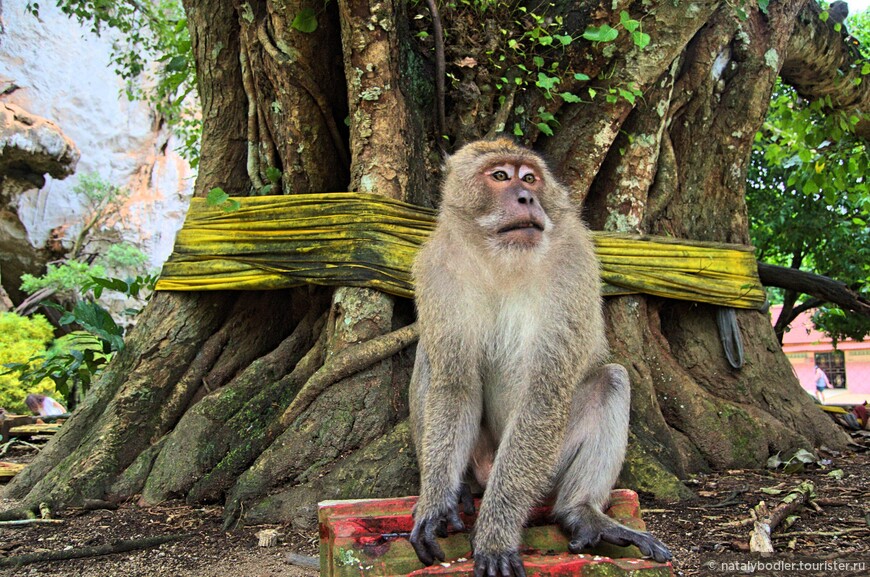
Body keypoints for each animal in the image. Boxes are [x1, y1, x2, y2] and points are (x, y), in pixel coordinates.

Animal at [410, 140, 676, 576]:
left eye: (530, 177)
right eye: (501, 176)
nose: (527, 198)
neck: (500, 259)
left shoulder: (573, 266)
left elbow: (544, 396)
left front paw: (496, 535)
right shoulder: (438, 268)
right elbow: (455, 385)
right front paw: (434, 505)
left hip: (547, 468)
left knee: (612, 379)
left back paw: (581, 511)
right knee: (430, 355)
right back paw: (461, 486)